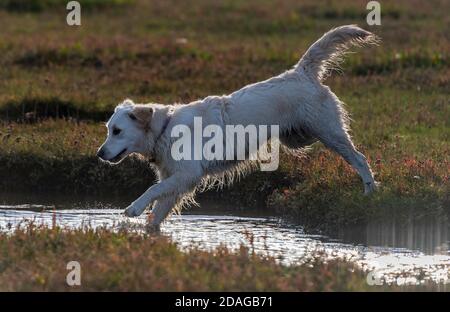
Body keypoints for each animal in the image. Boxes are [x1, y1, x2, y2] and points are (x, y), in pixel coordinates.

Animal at [97, 25, 380, 227]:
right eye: (108, 130)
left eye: (117, 131)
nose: (99, 154)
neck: (165, 128)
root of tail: (301, 72)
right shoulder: (174, 179)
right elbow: (158, 209)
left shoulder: (187, 174)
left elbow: (153, 189)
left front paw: (133, 208)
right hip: (299, 137)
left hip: (329, 131)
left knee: (359, 158)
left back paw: (370, 192)